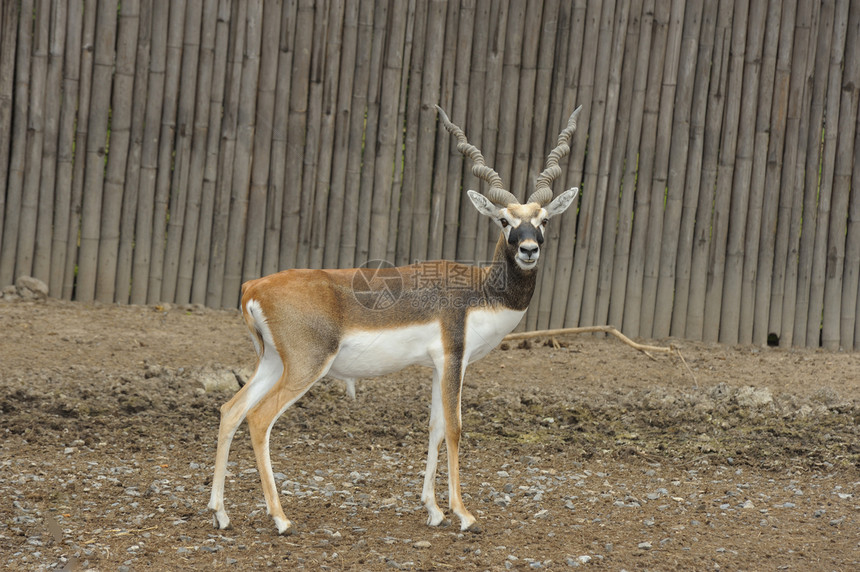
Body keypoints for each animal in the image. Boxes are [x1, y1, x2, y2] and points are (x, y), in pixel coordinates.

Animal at [209, 104, 584, 536]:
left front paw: (434, 510)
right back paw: (281, 519)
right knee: (258, 419)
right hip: (306, 366)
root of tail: (253, 286)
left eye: (543, 219)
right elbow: (455, 428)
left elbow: (435, 429)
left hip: (272, 361)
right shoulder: (454, 358)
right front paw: (463, 514)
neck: (481, 290)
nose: (528, 249)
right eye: (504, 220)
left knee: (231, 410)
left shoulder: (438, 365)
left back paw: (220, 513)